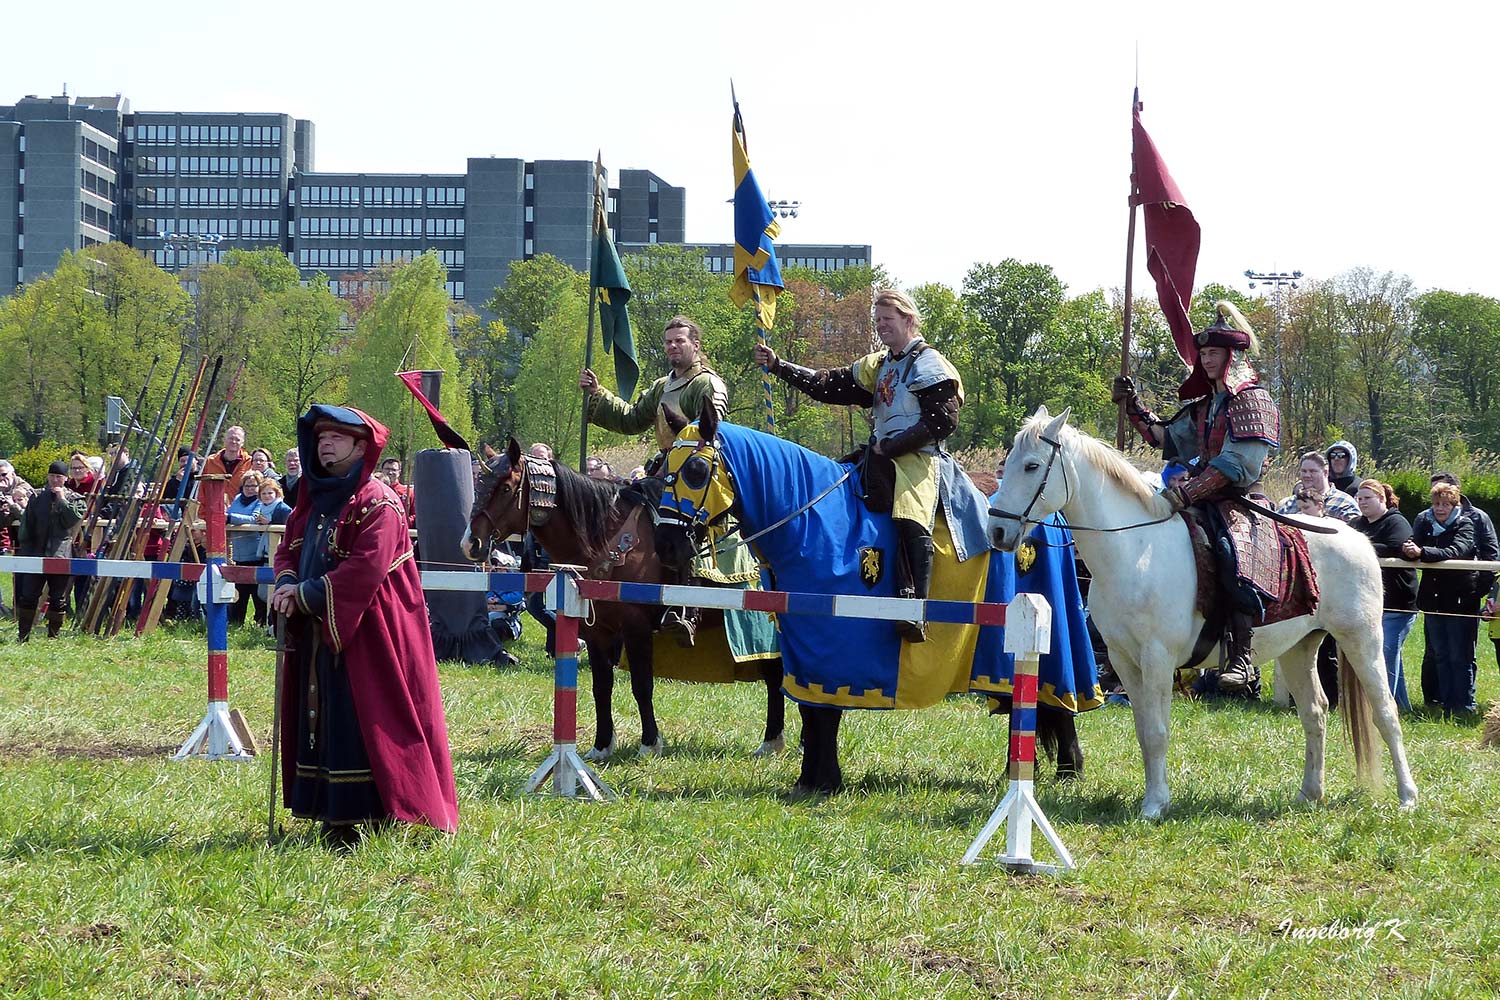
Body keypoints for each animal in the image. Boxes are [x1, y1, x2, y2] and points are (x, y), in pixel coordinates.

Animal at [459, 437, 792, 758]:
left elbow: (642, 684)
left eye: (505, 488)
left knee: (776, 675)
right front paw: (602, 745)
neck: (608, 538)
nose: (470, 543)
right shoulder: (597, 631)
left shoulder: (636, 628)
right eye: (479, 485)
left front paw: (649, 743)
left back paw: (772, 741)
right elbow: (601, 687)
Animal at [651, 401, 1098, 797]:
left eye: (695, 470)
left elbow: (824, 712)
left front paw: (825, 779)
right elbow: (810, 711)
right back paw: (1024, 768)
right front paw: (811, 778)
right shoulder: (803, 642)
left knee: (1054, 698)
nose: (667, 545)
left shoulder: (833, 646)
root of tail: (1050, 515)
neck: (814, 521)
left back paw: (1067, 769)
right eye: (661, 468)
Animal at [990, 407, 1410, 821]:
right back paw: (1309, 794)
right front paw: (1154, 798)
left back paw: (1407, 797)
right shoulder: (1124, 661)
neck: (1133, 549)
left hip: (1362, 640)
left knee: (1385, 712)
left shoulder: (1157, 658)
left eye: (1031, 465)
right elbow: (1144, 731)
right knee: (1315, 712)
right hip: (1299, 648)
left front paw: (1155, 805)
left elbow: (1157, 732)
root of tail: (1359, 539)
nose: (996, 530)